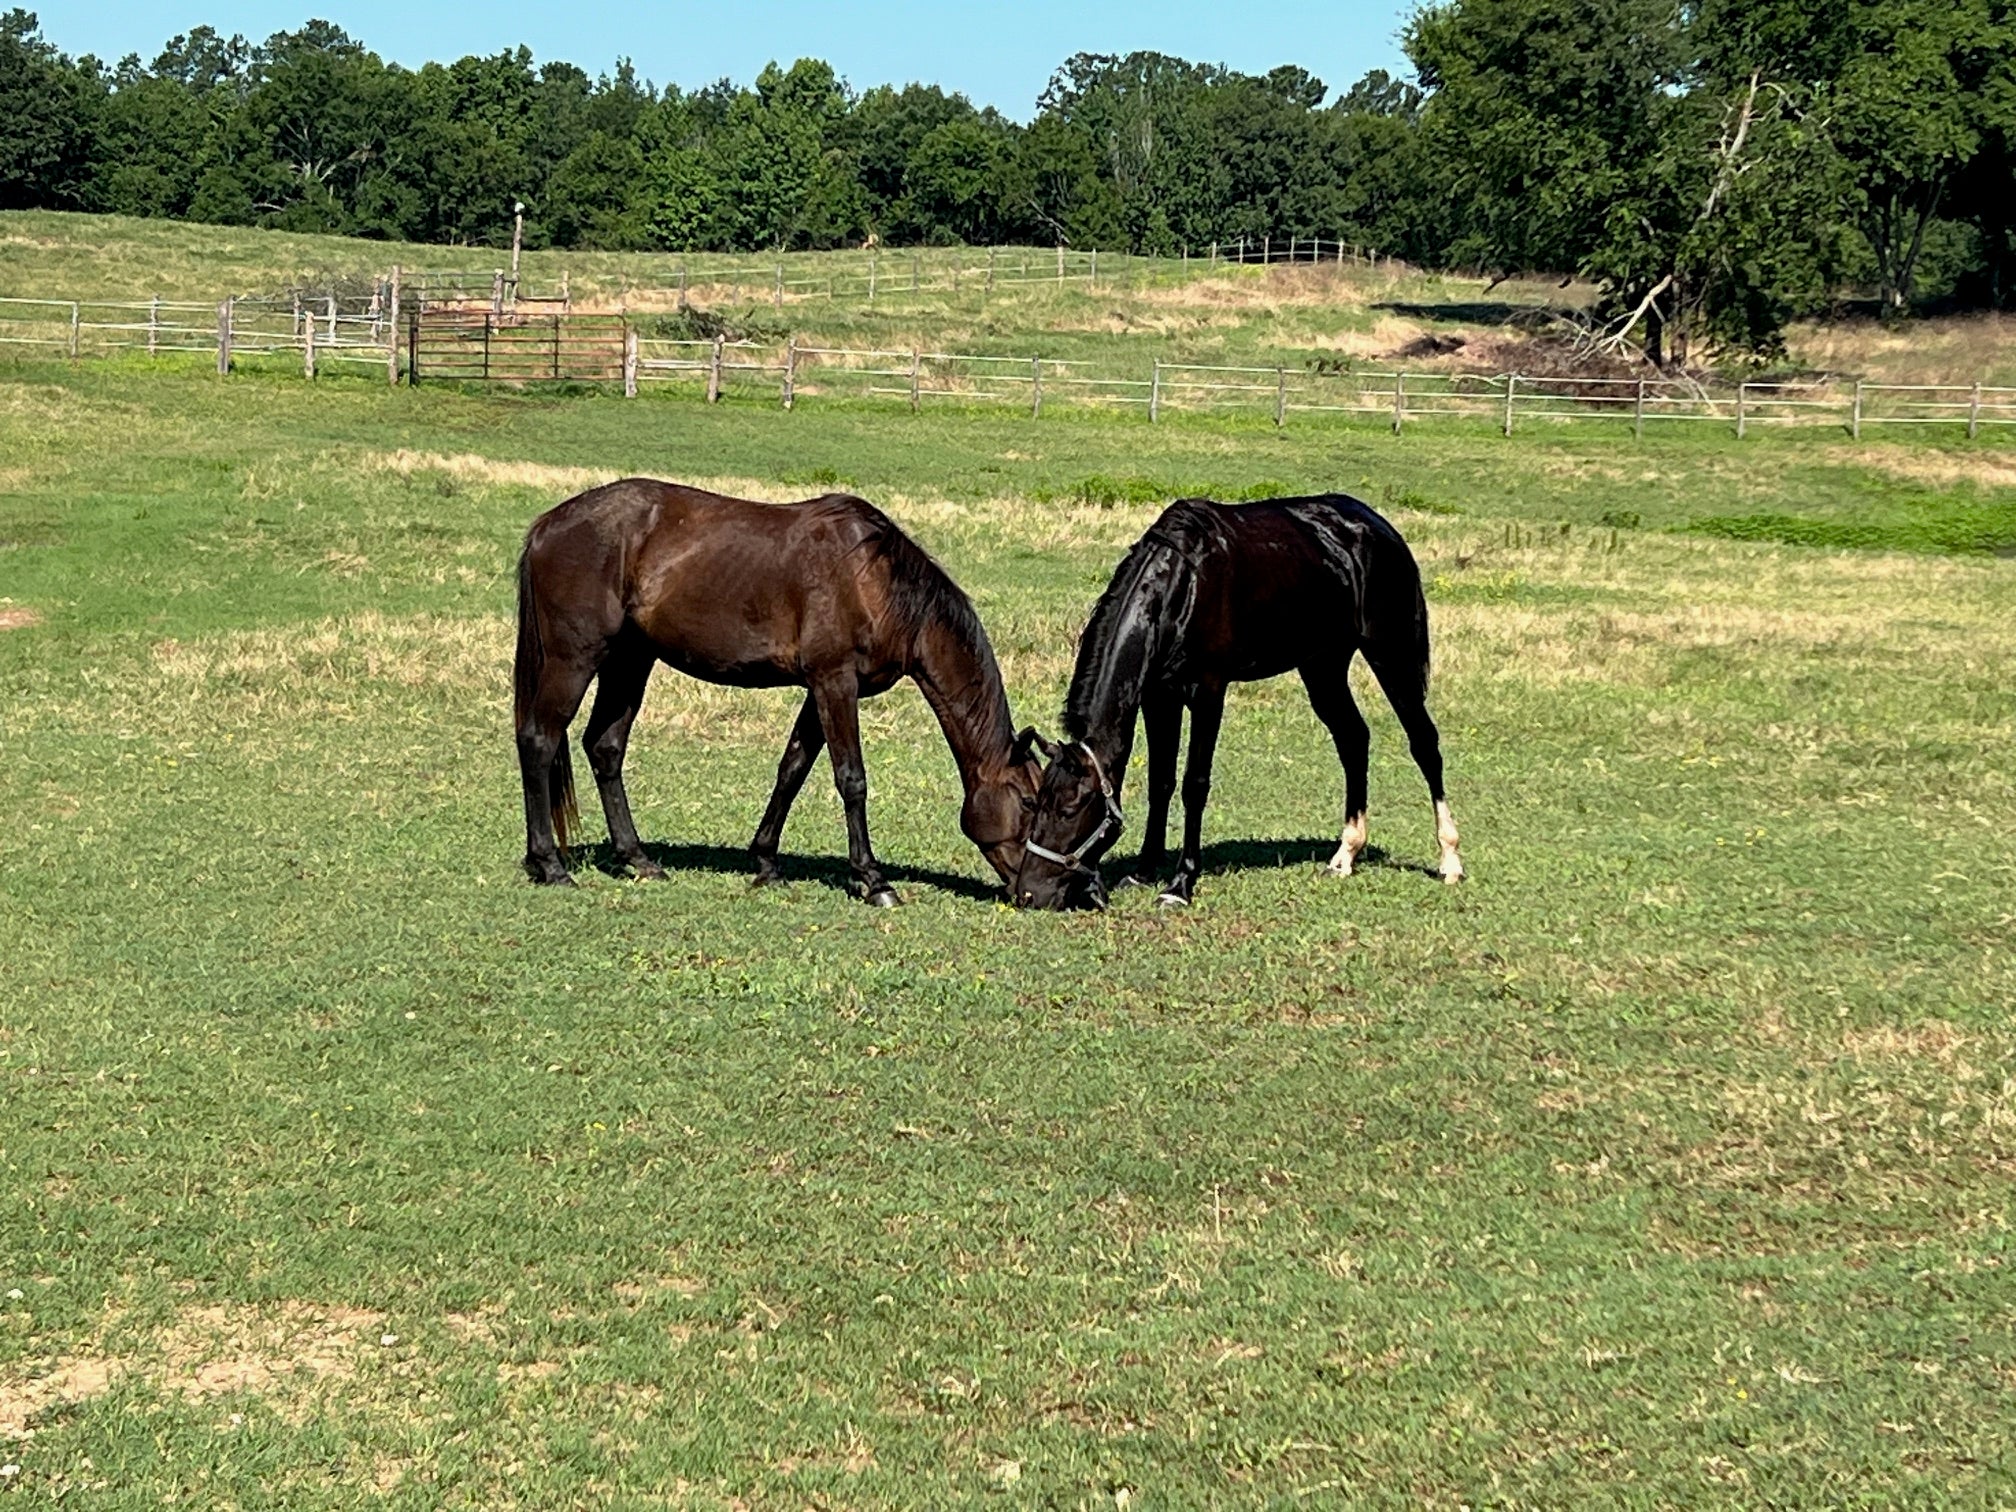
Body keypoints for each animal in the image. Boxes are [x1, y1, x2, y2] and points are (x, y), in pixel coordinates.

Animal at [512, 485, 1048, 907]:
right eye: (1028, 801)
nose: (1039, 893)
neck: (875, 580)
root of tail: (545, 526)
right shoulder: (835, 683)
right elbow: (851, 779)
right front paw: (873, 880)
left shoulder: (820, 689)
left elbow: (791, 770)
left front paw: (766, 862)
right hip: (574, 659)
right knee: (539, 740)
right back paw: (551, 865)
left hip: (630, 662)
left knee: (605, 747)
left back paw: (638, 859)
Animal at [1024, 493, 1467, 911]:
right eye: (1037, 802)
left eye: (1069, 810)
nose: (1030, 891)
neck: (1182, 587)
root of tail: (1381, 528)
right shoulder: (1159, 697)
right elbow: (1160, 781)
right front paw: (1145, 870)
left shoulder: (1208, 693)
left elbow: (1194, 784)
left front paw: (1180, 884)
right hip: (1323, 665)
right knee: (1353, 739)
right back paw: (1345, 854)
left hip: (1391, 654)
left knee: (1424, 743)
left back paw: (1449, 859)